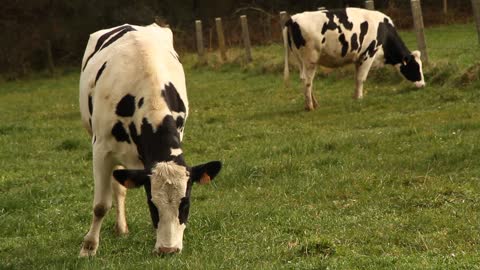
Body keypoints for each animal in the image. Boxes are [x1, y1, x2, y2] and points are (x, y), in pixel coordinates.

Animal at [78, 22, 221, 255]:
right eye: (152, 204)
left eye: (185, 204)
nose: (168, 250)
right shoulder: (101, 149)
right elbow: (100, 206)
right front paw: (89, 248)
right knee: (117, 188)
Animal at [284, 8, 426, 110]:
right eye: (415, 67)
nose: (423, 84)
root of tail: (293, 18)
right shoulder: (368, 54)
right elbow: (361, 78)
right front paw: (359, 98)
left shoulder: (358, 58)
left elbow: (357, 78)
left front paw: (356, 97)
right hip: (310, 59)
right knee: (308, 81)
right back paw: (310, 106)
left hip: (300, 60)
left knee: (304, 79)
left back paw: (314, 103)